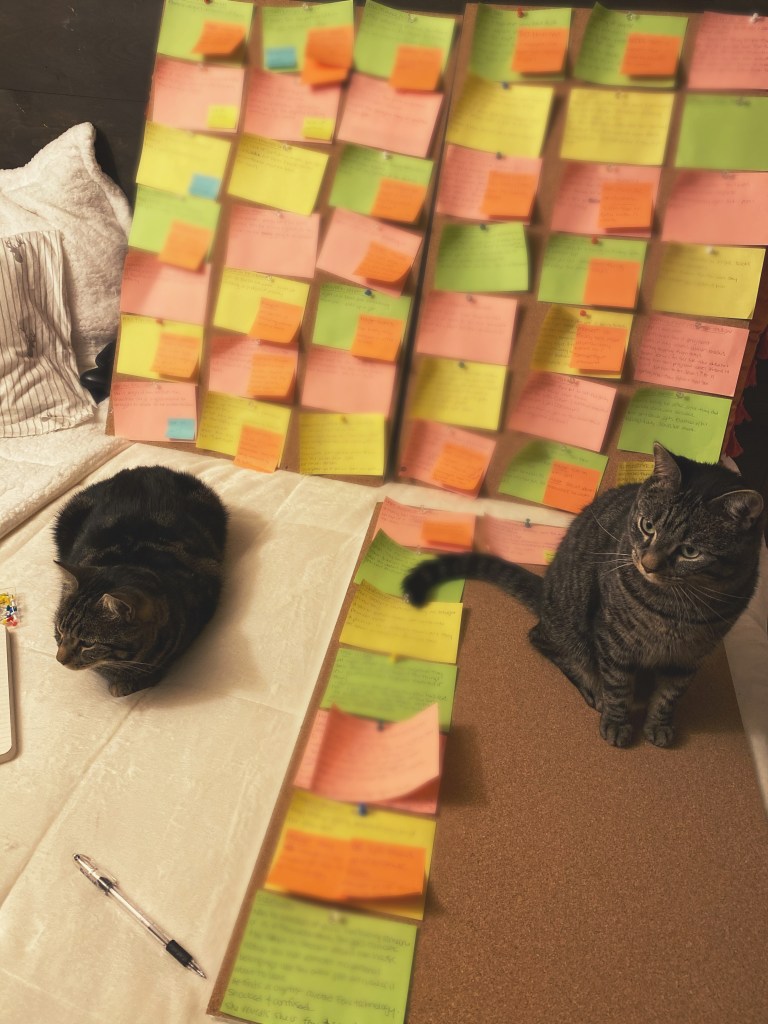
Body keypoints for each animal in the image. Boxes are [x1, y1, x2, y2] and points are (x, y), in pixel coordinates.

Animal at [403, 444, 764, 748]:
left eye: (690, 551)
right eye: (647, 526)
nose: (647, 564)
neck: (674, 609)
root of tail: (546, 587)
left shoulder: (692, 654)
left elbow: (670, 694)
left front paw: (659, 724)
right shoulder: (613, 637)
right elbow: (617, 684)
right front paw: (617, 720)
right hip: (570, 623)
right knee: (546, 641)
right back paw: (594, 689)